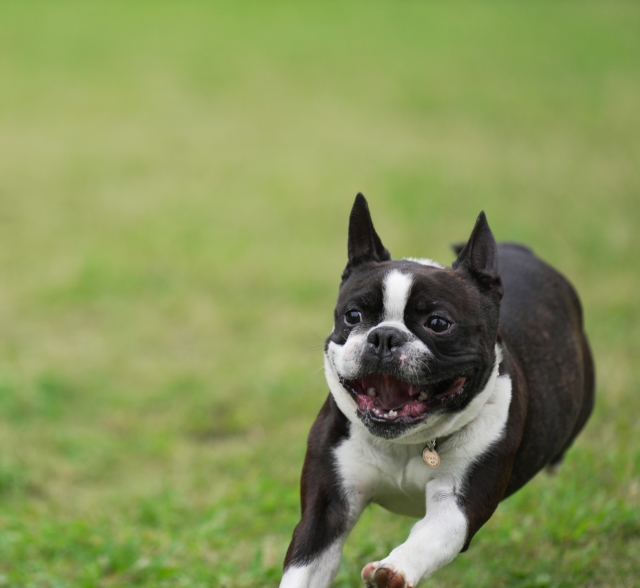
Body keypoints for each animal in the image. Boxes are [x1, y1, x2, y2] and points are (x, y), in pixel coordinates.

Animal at [280, 195, 596, 584]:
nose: (384, 336)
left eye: (438, 323)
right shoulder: (327, 508)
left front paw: (393, 569)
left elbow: (431, 537)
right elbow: (305, 565)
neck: (405, 444)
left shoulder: (458, 505)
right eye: (353, 316)